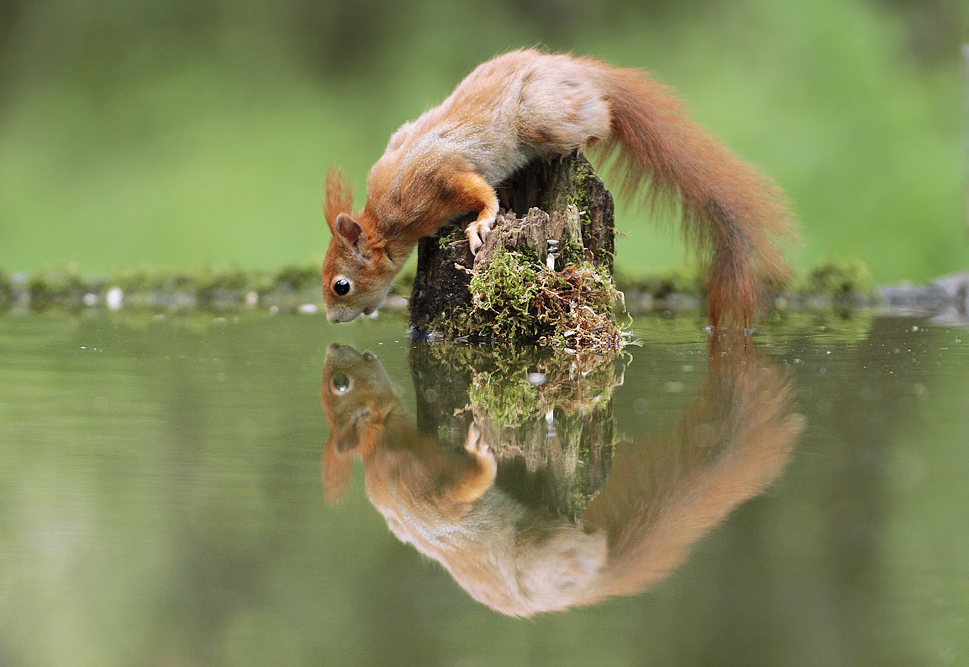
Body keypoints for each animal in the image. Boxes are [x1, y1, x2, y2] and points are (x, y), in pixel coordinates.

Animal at [324, 48, 796, 328]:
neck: (389, 219)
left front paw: (480, 225)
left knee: (601, 117)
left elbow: (480, 192)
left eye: (340, 286)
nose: (331, 319)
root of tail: (579, 71)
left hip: (541, 117)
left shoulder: (440, 173)